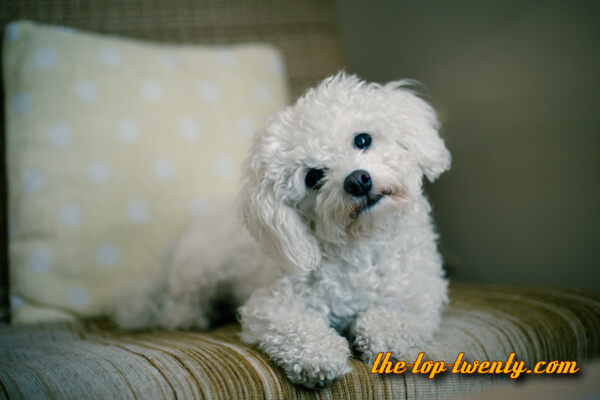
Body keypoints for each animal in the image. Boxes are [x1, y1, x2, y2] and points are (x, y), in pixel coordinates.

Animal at [113, 73, 450, 390]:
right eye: (313, 177)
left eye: (363, 140)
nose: (357, 180)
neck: (362, 247)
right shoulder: (271, 305)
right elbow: (298, 328)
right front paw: (319, 356)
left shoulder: (421, 298)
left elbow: (391, 320)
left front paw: (378, 337)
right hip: (200, 269)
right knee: (177, 304)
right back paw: (190, 317)